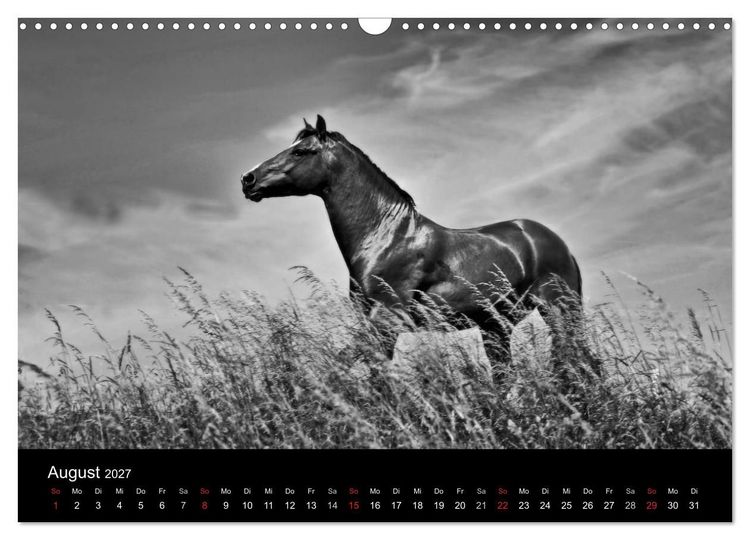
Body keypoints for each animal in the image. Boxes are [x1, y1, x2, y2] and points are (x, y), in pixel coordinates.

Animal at [241, 115, 599, 382]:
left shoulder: (387, 318)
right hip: (497, 326)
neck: (386, 238)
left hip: (559, 310)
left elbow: (340, 366)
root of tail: (555, 243)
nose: (248, 179)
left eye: (301, 151)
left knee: (578, 363)